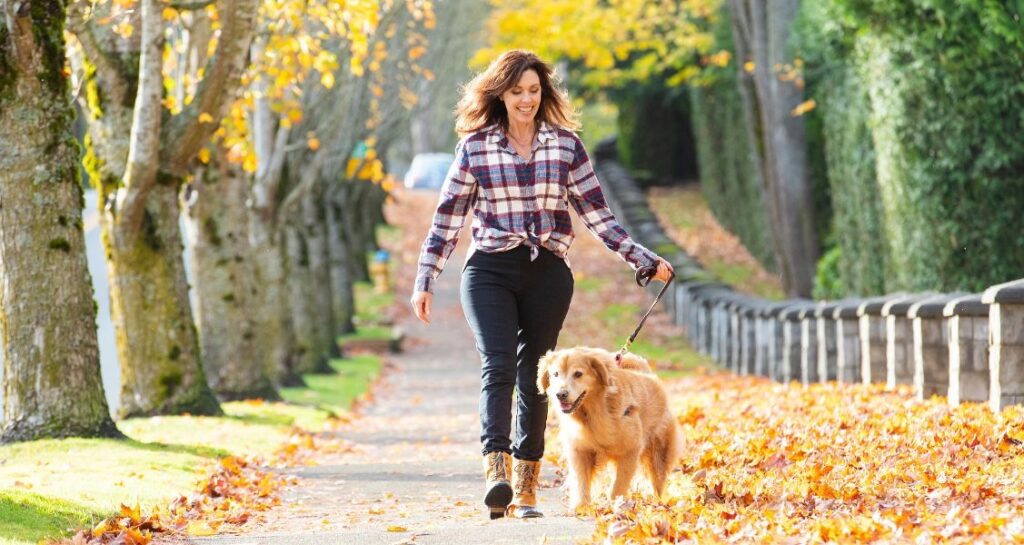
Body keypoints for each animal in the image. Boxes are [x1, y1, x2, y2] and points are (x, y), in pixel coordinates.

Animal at [536, 344, 679, 510]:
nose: (560, 394)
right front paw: (581, 507)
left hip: (659, 453)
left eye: (578, 374)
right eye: (555, 374)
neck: (593, 412)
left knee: (657, 481)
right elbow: (581, 480)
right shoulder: (579, 450)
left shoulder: (631, 450)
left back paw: (657, 504)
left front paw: (614, 506)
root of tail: (647, 374)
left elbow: (619, 484)